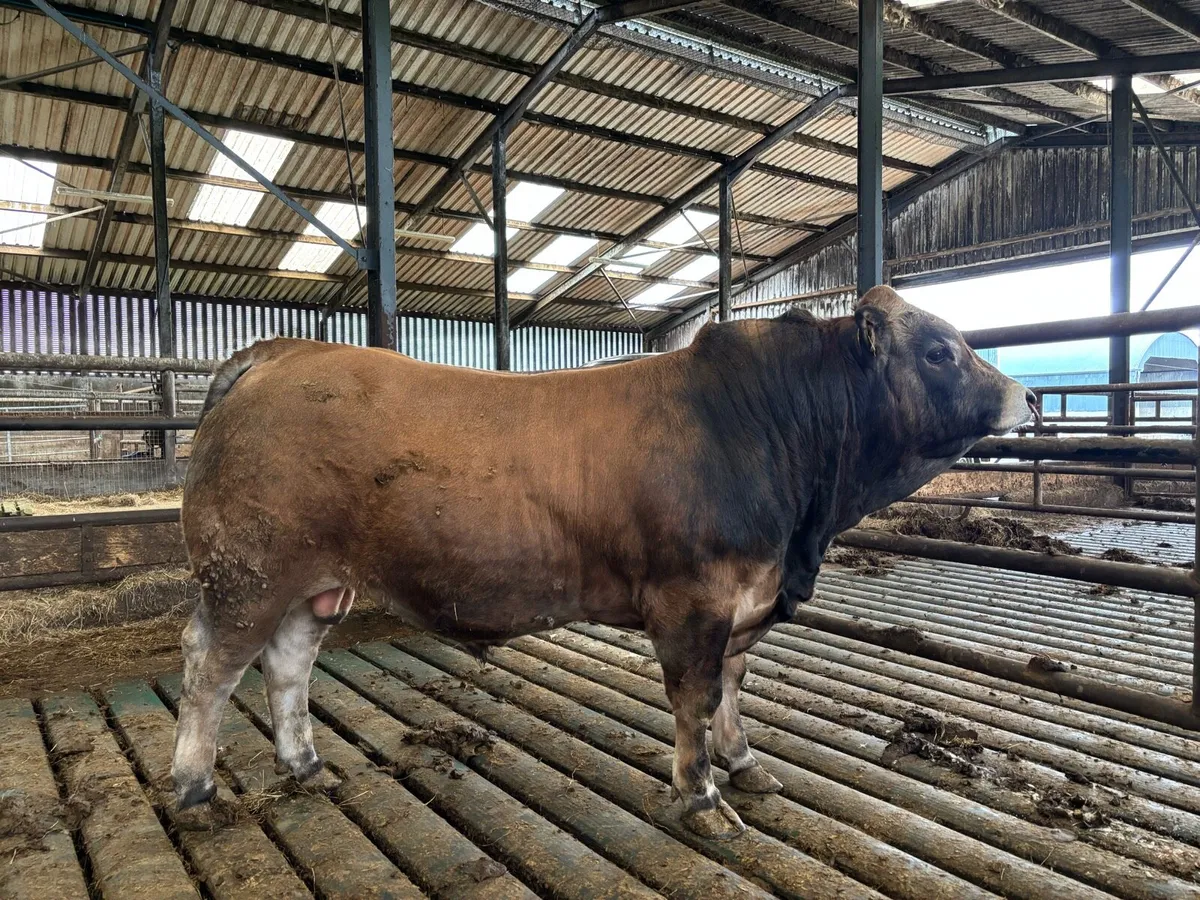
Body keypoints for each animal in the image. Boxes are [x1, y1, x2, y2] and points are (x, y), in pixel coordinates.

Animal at [171, 285, 1034, 839]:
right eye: (938, 350)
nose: (1027, 397)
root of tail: (281, 353)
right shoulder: (694, 601)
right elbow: (695, 698)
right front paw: (702, 800)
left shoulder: (747, 601)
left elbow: (733, 687)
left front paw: (747, 765)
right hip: (248, 573)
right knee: (211, 669)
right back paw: (195, 788)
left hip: (315, 584)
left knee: (288, 664)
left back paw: (306, 765)